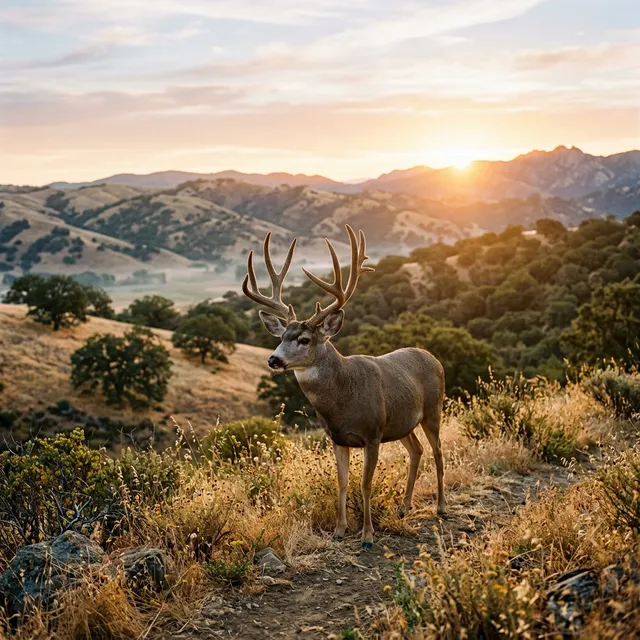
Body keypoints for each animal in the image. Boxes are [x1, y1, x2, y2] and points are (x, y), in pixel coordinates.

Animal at [242, 225, 445, 549]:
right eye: (281, 336)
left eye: (304, 339)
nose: (274, 359)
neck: (342, 400)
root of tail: (434, 357)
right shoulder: (337, 438)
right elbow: (342, 482)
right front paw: (340, 530)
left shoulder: (373, 433)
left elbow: (365, 483)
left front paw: (367, 536)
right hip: (402, 423)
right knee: (417, 451)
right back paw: (404, 507)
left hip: (433, 410)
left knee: (438, 452)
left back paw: (440, 507)